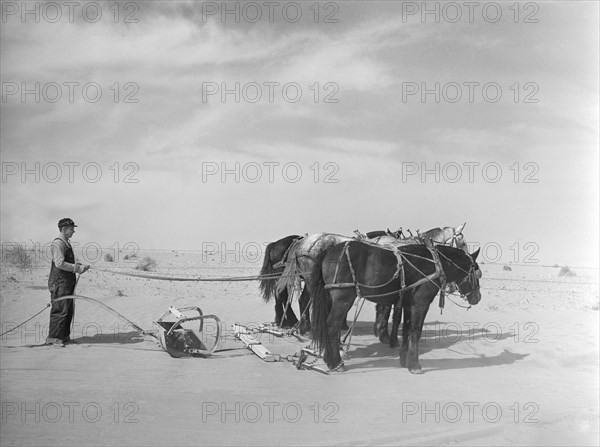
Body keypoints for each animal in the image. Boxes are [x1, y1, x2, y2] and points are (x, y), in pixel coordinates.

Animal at [310, 242, 482, 374]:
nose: (477, 297)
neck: (434, 263)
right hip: (343, 299)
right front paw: (414, 364)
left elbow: (406, 330)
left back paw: (329, 358)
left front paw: (405, 360)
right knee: (332, 325)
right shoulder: (421, 304)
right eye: (477, 273)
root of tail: (328, 251)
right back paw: (335, 363)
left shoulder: (408, 304)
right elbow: (416, 331)